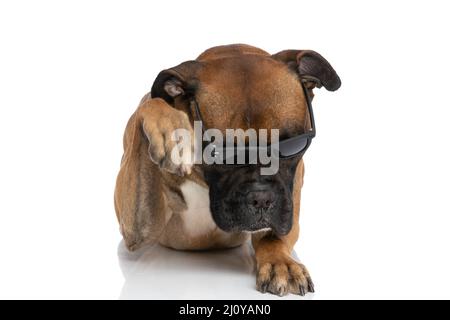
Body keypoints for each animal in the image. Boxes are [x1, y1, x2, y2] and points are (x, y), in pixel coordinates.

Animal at [113, 43, 342, 296]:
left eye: (291, 146)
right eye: (221, 153)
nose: (261, 198)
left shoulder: (290, 211)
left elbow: (274, 238)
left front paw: (281, 262)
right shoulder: (137, 228)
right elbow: (150, 104)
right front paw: (169, 128)